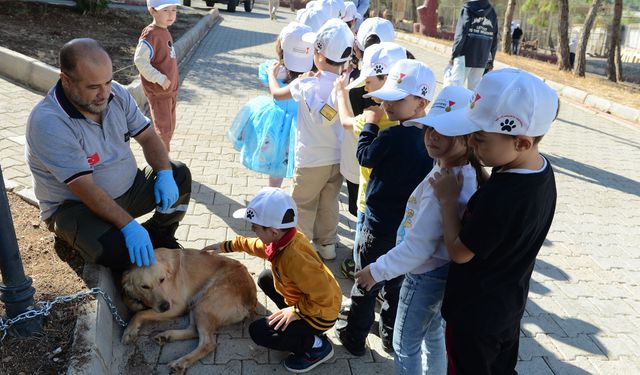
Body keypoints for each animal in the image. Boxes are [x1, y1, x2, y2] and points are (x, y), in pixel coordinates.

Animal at [121, 248, 256, 374]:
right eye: (144, 287)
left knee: (208, 343)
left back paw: (181, 362)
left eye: (162, 280)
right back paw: (167, 336)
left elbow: (140, 313)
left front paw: (129, 331)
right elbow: (133, 306)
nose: (165, 306)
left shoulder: (177, 306)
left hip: (204, 305)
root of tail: (251, 298)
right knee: (194, 331)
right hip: (196, 303)